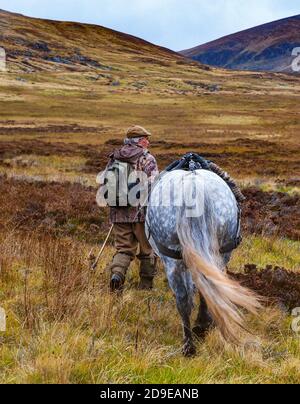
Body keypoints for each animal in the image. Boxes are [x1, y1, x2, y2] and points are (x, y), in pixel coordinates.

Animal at [146, 167, 260, 356]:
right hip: (217, 253)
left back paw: (191, 341)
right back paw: (197, 333)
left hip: (173, 259)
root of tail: (194, 184)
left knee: (183, 298)